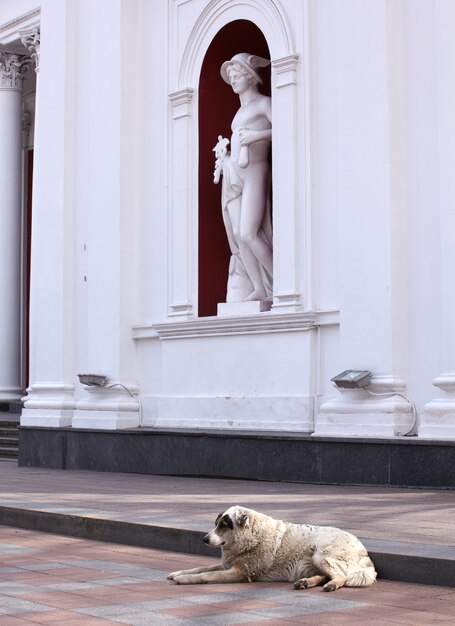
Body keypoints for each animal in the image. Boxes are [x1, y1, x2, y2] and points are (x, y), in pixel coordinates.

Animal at [167, 502, 378, 588]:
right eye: (216, 524)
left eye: (223, 526)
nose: (204, 539)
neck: (251, 537)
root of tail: (364, 551)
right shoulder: (227, 565)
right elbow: (200, 568)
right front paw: (177, 573)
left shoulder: (239, 572)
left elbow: (206, 575)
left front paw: (184, 580)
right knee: (325, 576)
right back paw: (306, 583)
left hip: (321, 556)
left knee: (341, 576)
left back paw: (331, 585)